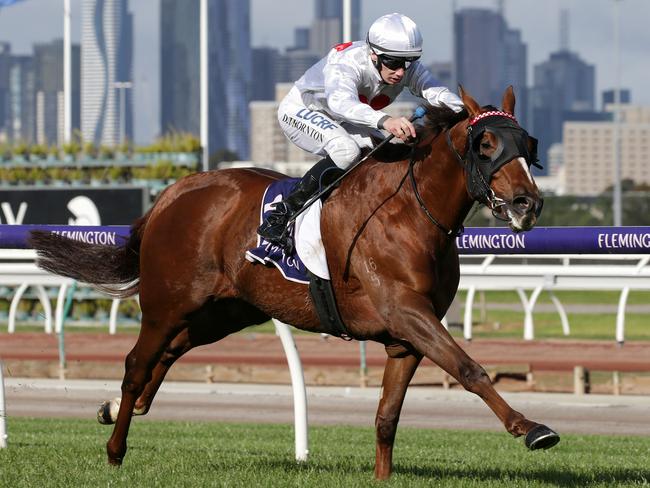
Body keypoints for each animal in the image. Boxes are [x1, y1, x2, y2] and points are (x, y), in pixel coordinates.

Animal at [31, 85, 556, 480]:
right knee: (137, 364)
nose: (527, 203)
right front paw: (532, 428)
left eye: (528, 144)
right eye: (485, 145)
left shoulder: (406, 336)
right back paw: (115, 449)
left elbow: (387, 416)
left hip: (225, 312)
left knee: (169, 352)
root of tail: (172, 193)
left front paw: (382, 475)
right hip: (166, 303)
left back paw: (118, 407)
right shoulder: (407, 312)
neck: (410, 212)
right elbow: (469, 369)